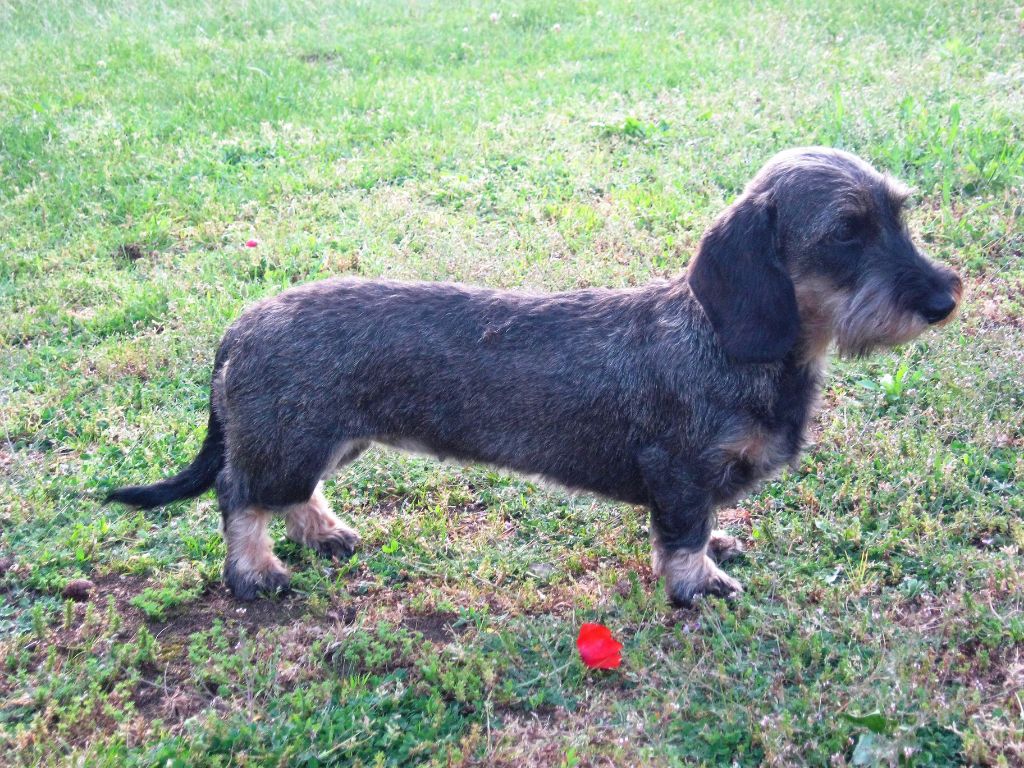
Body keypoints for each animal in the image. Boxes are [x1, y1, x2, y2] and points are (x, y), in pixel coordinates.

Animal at [108, 148, 962, 606]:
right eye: (846, 232)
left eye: (899, 214)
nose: (945, 298)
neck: (725, 343)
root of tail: (242, 322)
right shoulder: (678, 470)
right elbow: (683, 535)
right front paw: (697, 582)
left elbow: (702, 523)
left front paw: (720, 546)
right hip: (290, 441)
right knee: (239, 496)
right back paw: (256, 572)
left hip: (323, 441)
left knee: (289, 494)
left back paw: (324, 532)